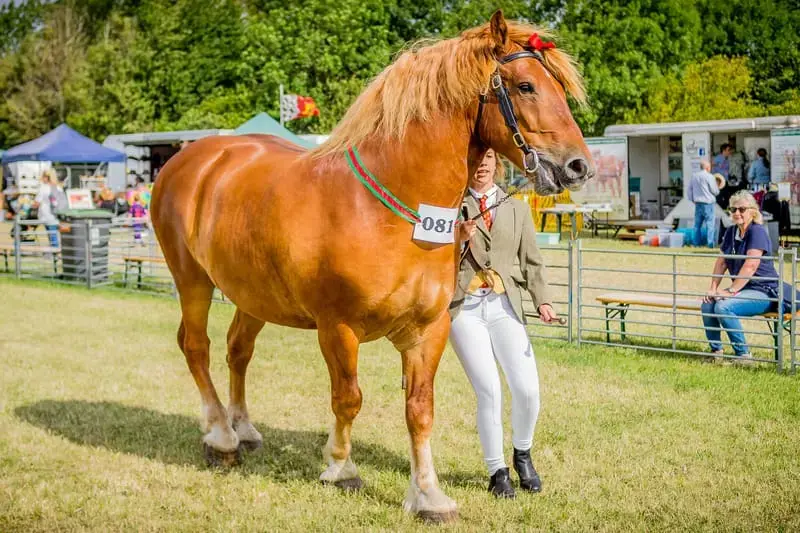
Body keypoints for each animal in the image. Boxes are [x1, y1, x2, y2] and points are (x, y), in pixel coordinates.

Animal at [150, 10, 594, 523]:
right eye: (525, 86)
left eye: (558, 85)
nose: (579, 166)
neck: (389, 210)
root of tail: (191, 158)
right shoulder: (337, 328)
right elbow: (348, 399)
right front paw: (341, 468)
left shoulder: (429, 330)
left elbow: (420, 409)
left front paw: (428, 494)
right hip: (193, 281)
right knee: (196, 347)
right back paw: (221, 436)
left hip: (253, 295)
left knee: (237, 350)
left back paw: (243, 428)